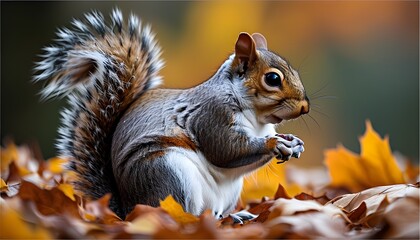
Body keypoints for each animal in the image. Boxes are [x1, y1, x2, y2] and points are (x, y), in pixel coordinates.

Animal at [33, 8, 308, 219]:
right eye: (272, 79)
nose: (305, 107)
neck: (257, 118)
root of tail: (127, 210)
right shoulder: (211, 115)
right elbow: (225, 150)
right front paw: (274, 144)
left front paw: (294, 143)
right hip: (168, 173)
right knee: (184, 215)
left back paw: (234, 215)